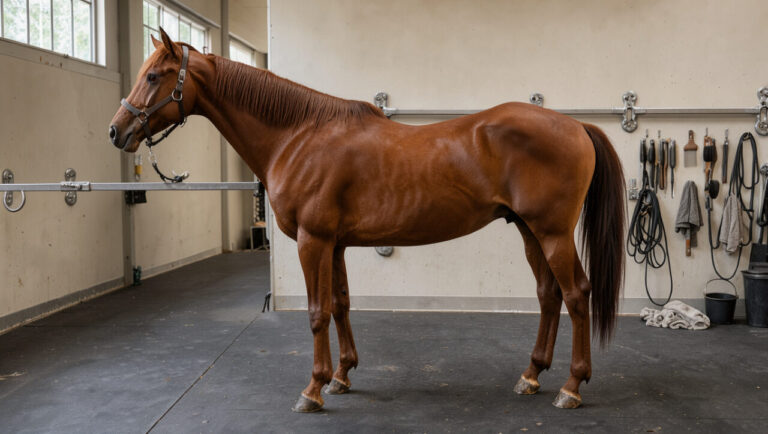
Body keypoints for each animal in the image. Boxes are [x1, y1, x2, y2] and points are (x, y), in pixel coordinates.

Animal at [109, 28, 625, 412]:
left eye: (154, 76)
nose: (117, 131)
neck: (298, 137)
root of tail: (576, 125)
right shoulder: (335, 243)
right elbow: (340, 304)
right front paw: (341, 377)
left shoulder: (312, 241)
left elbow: (317, 312)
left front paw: (312, 390)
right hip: (528, 230)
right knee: (548, 295)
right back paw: (531, 375)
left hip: (552, 232)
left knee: (576, 295)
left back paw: (571, 387)